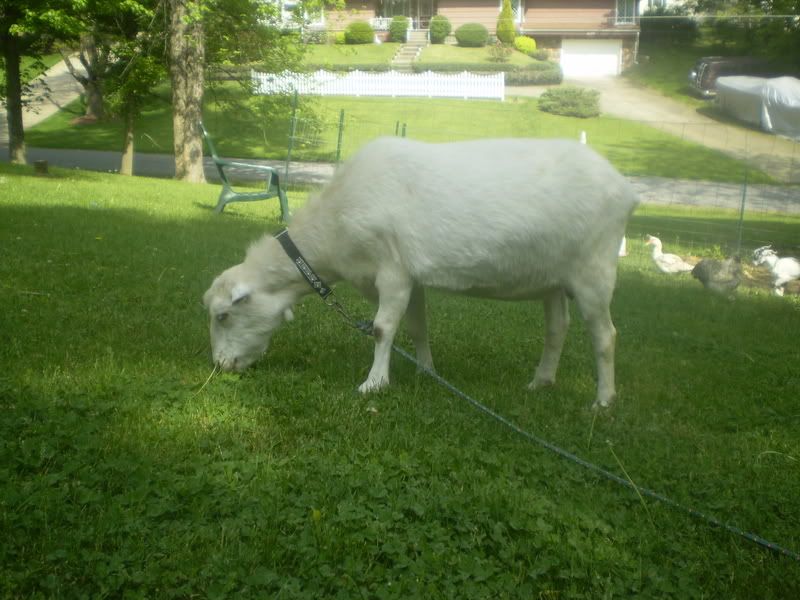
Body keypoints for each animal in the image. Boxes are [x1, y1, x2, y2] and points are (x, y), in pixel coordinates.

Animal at [204, 137, 639, 409]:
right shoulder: (408, 277)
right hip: (554, 278)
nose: (220, 366)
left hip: (594, 269)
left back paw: (603, 400)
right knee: (557, 330)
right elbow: (416, 326)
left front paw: (373, 384)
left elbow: (382, 329)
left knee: (606, 335)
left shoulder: (391, 269)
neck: (333, 228)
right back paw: (540, 382)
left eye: (223, 315)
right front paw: (427, 371)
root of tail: (625, 189)